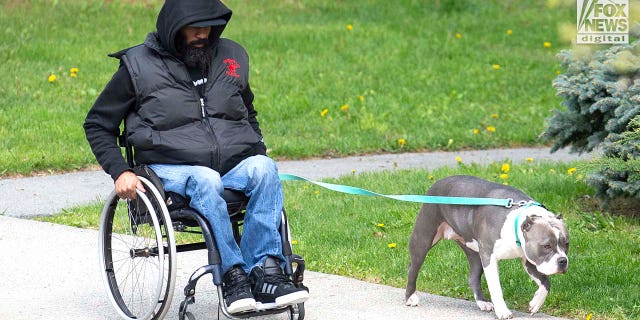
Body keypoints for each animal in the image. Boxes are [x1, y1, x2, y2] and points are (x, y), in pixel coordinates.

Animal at [404, 176, 568, 318]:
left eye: (566, 244)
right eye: (546, 246)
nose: (563, 261)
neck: (515, 223)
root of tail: (437, 182)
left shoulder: (530, 258)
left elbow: (545, 283)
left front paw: (535, 303)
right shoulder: (489, 257)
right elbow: (496, 288)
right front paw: (503, 311)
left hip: (474, 252)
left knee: (473, 277)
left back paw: (482, 302)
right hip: (423, 239)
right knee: (413, 268)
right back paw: (410, 297)